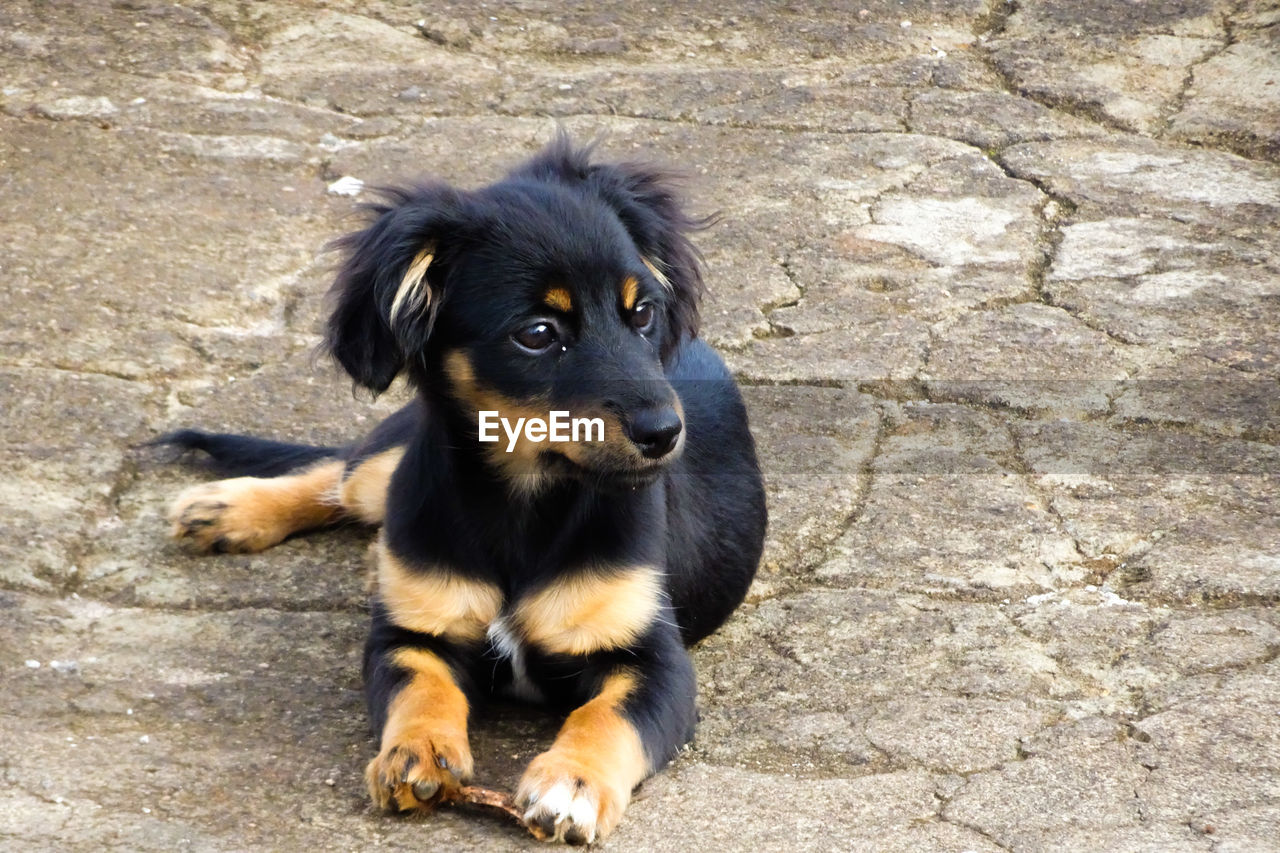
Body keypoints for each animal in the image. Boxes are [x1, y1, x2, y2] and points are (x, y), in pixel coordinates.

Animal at [157, 136, 757, 840]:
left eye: (642, 313)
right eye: (538, 333)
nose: (665, 433)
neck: (524, 500)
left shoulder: (653, 660)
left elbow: (605, 719)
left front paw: (572, 784)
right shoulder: (410, 636)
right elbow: (423, 688)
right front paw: (415, 751)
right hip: (390, 474)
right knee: (343, 474)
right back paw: (226, 507)